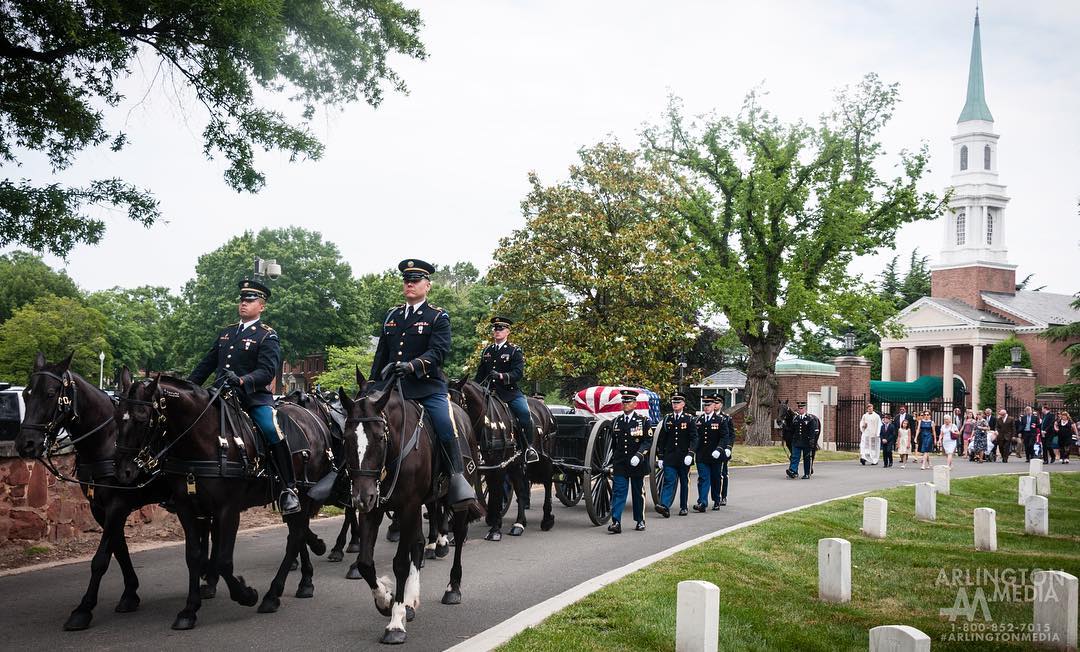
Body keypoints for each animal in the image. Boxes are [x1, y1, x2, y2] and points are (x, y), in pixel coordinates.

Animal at [13, 354, 172, 630]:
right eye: (25, 393)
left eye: (51, 393)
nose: (26, 444)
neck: (107, 441)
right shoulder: (100, 509)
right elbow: (119, 549)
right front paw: (130, 593)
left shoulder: (117, 505)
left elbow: (101, 559)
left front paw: (83, 609)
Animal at [112, 373, 332, 630]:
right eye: (116, 417)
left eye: (141, 418)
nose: (123, 471)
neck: (205, 440)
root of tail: (315, 420)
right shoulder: (187, 508)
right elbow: (194, 556)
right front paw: (189, 610)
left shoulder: (228, 510)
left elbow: (224, 561)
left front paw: (246, 594)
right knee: (297, 532)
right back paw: (304, 579)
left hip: (303, 494)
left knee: (295, 536)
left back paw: (273, 594)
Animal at [339, 371, 483, 647]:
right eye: (346, 439)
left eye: (379, 437)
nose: (361, 497)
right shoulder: (376, 509)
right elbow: (365, 563)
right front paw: (386, 600)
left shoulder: (407, 506)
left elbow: (400, 564)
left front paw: (395, 623)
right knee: (417, 543)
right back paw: (410, 600)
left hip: (454, 500)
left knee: (458, 536)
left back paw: (452, 588)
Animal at [449, 377, 557, 539]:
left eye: (456, 403)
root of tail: (546, 409)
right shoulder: (488, 467)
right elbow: (494, 493)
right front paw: (494, 521)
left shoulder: (498, 465)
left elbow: (497, 493)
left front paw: (495, 529)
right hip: (516, 463)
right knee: (520, 489)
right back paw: (519, 524)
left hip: (544, 457)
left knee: (547, 481)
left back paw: (546, 519)